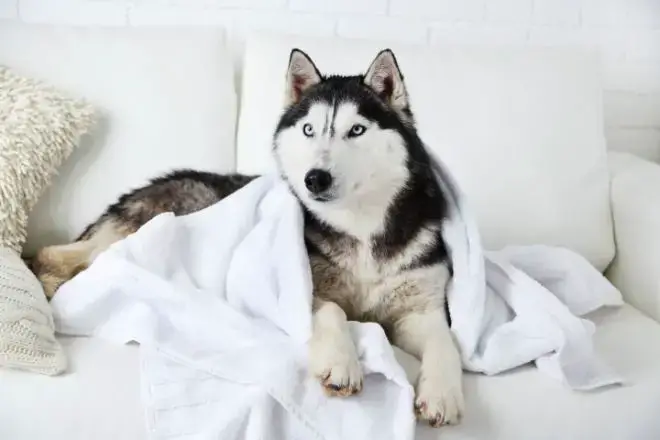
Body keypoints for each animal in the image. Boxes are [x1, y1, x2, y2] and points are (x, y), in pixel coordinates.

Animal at [31, 48, 464, 426]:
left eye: (356, 130)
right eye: (309, 130)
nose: (315, 178)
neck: (359, 227)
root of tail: (142, 189)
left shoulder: (419, 311)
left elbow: (446, 342)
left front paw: (443, 393)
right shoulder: (299, 291)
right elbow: (333, 311)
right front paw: (341, 362)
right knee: (55, 255)